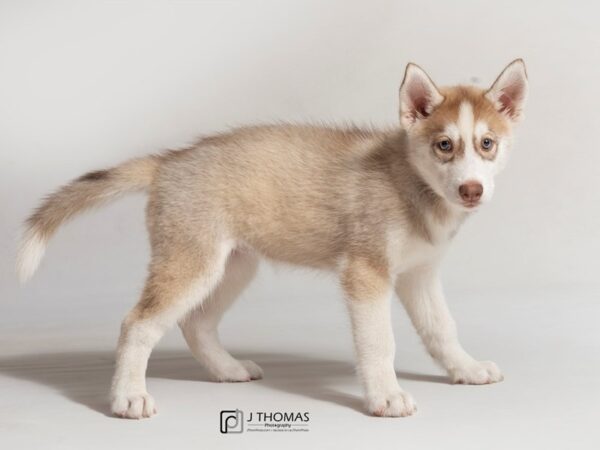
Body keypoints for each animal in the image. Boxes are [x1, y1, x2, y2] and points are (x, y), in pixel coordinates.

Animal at [16, 59, 528, 418]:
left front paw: (466, 369)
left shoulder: (419, 274)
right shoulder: (365, 275)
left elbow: (442, 328)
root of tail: (170, 161)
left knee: (195, 322)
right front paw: (385, 396)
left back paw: (227, 370)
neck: (413, 184)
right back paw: (128, 397)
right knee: (137, 324)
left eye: (487, 144)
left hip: (233, 265)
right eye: (444, 145)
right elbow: (379, 343)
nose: (471, 190)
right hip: (192, 262)